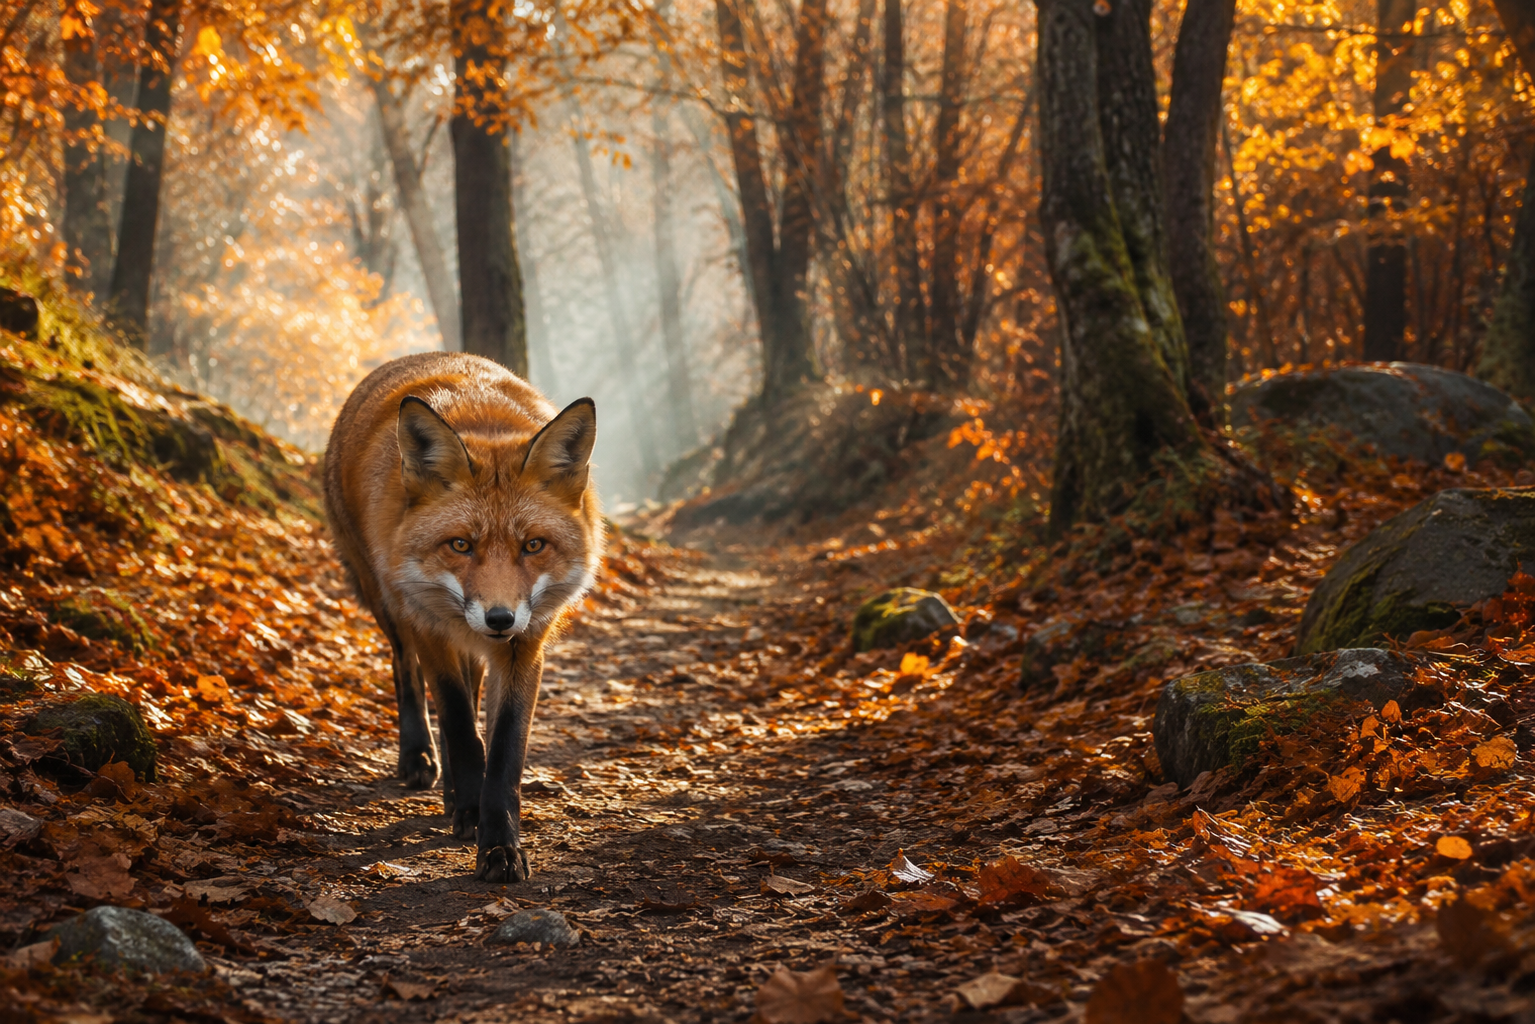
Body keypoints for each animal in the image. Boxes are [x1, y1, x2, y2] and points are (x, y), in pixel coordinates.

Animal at [324, 351, 602, 882]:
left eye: (533, 545)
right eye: (460, 545)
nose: (499, 619)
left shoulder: (525, 644)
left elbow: (504, 750)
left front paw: (499, 844)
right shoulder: (428, 627)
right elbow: (457, 723)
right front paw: (473, 811)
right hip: (388, 603)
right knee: (408, 675)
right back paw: (421, 759)